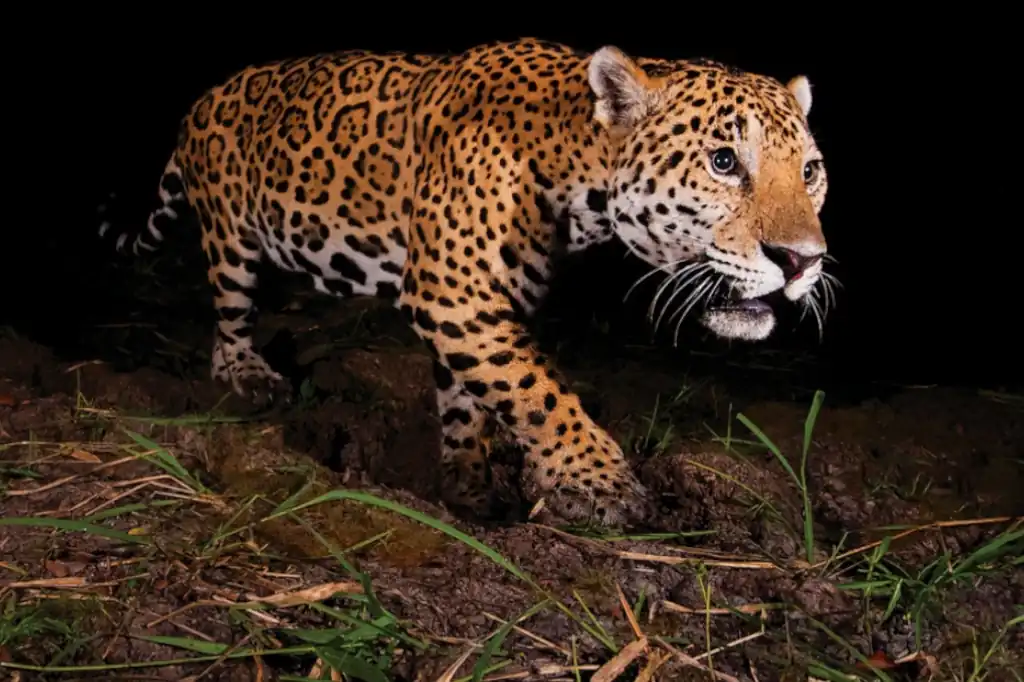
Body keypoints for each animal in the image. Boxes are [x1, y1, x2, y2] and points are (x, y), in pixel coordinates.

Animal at [97, 38, 834, 527]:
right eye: (723, 161)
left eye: (811, 170)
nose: (802, 261)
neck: (575, 167)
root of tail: (206, 97)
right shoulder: (452, 292)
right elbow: (538, 390)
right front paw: (599, 482)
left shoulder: (481, 305)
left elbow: (476, 394)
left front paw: (468, 484)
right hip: (231, 238)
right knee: (229, 315)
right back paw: (246, 374)